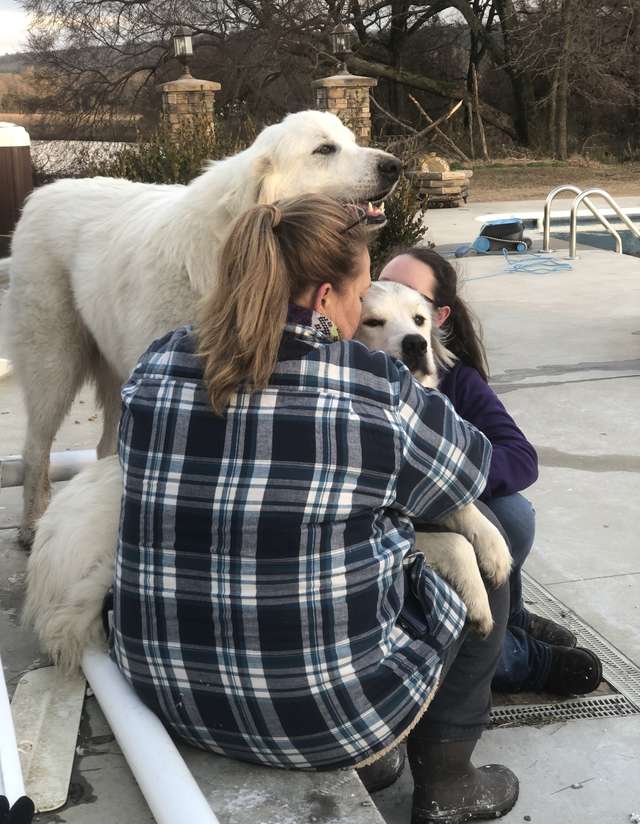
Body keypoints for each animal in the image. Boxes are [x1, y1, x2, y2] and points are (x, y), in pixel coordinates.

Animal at [1, 109, 400, 548]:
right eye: (324, 149)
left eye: (351, 140)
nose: (395, 166)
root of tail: (41, 194)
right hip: (53, 362)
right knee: (37, 446)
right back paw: (32, 523)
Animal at [25, 280, 512, 672]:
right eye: (373, 321)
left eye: (419, 319)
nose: (415, 344)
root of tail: (42, 557)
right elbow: (453, 539)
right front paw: (480, 595)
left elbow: (464, 509)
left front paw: (494, 550)